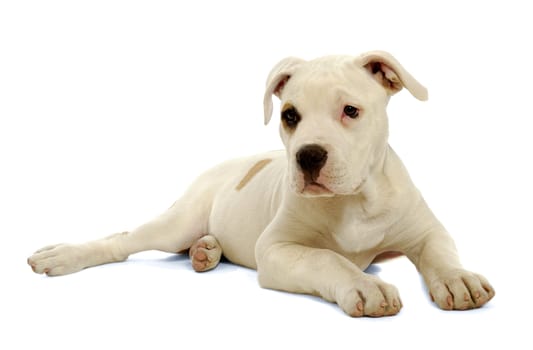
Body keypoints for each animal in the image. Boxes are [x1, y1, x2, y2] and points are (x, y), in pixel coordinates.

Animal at [28, 50, 494, 316]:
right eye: (289, 115)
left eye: (351, 111)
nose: (308, 156)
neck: (354, 201)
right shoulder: (276, 249)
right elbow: (327, 259)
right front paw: (363, 285)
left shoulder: (425, 230)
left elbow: (439, 252)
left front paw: (459, 279)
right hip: (177, 221)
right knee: (122, 240)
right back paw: (63, 256)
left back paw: (205, 251)